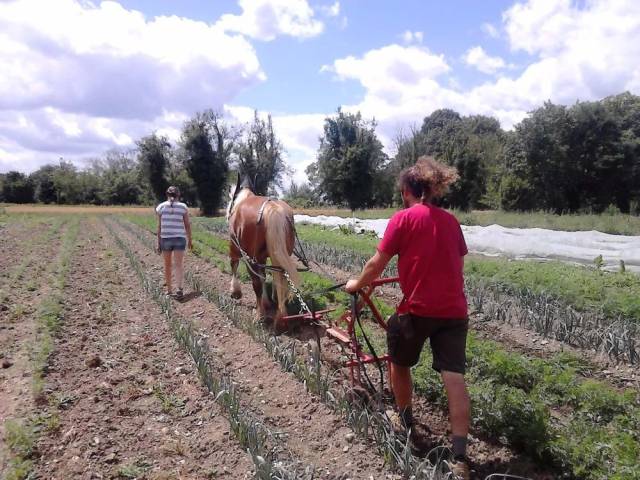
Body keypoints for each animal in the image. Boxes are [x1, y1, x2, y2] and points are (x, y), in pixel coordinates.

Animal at [226, 176, 302, 330]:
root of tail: (273, 209)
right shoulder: (261, 257)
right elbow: (264, 276)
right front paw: (267, 302)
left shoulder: (235, 248)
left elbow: (235, 267)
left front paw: (235, 292)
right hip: (280, 254)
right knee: (281, 278)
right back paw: (281, 317)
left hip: (250, 257)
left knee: (256, 285)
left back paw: (259, 316)